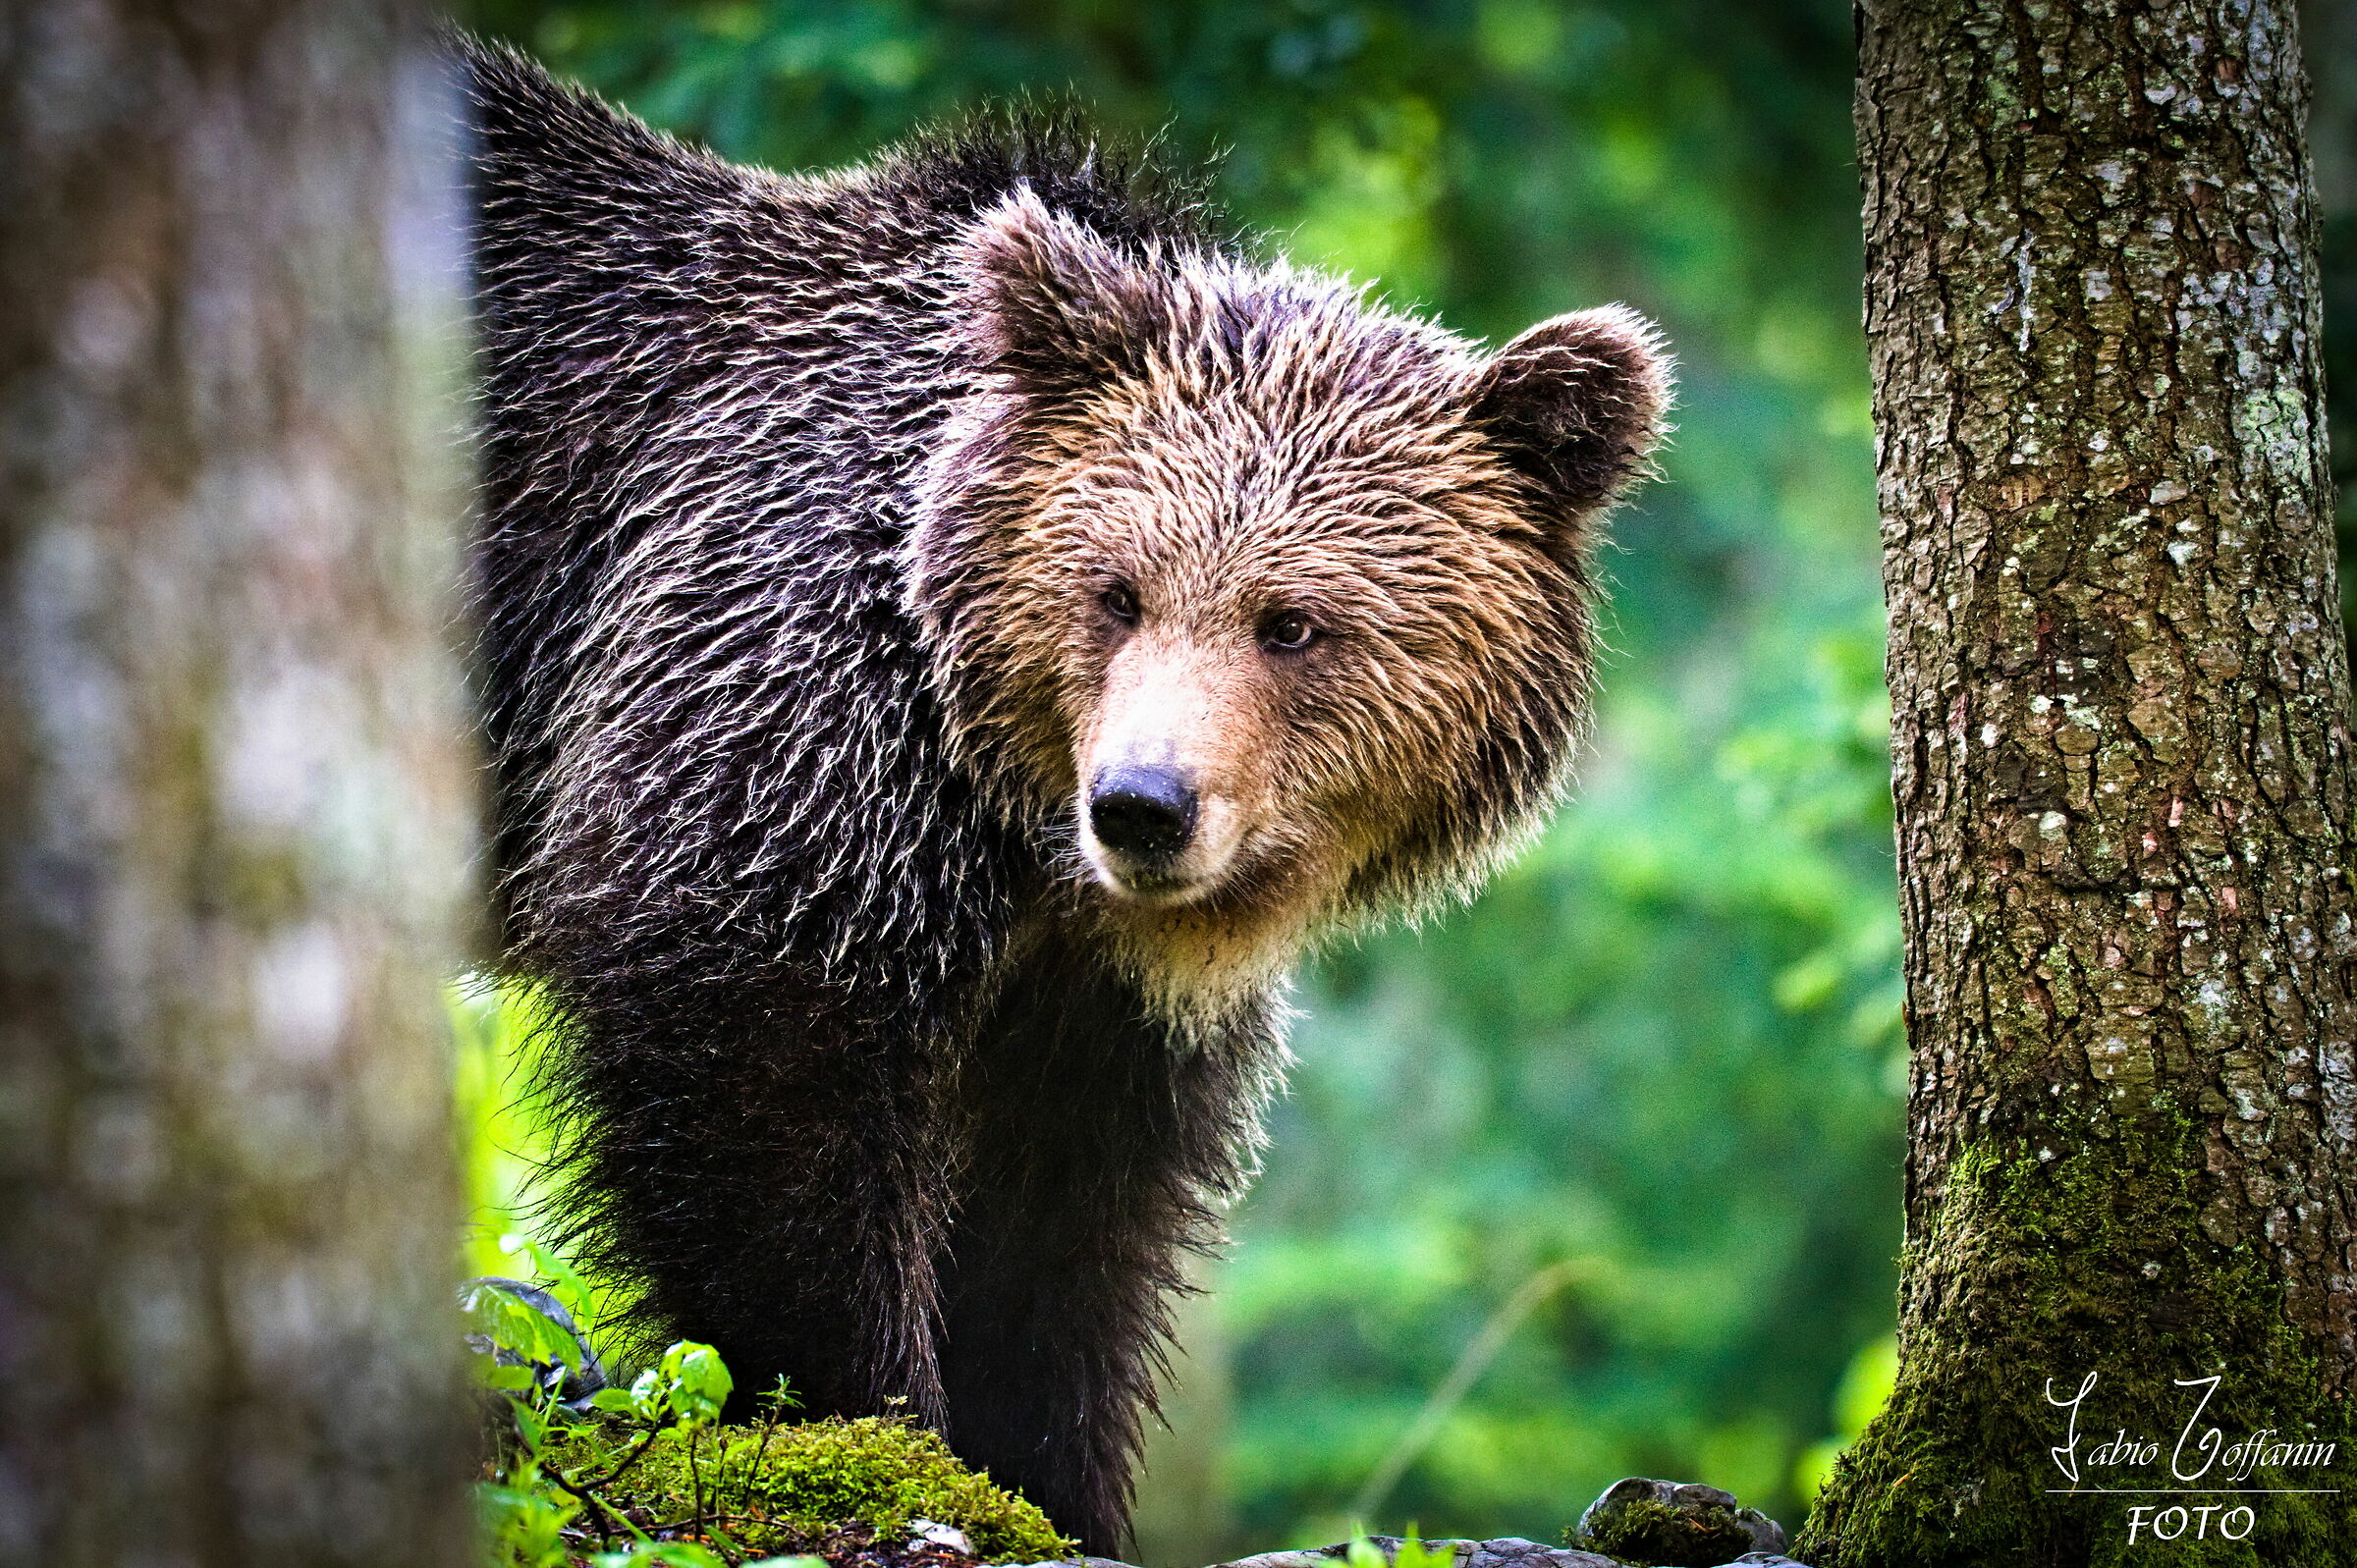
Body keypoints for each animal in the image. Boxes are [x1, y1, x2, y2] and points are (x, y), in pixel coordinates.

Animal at [456, 37, 1669, 1553]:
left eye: (1292, 623)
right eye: (1116, 590)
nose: (1144, 804)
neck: (1004, 816)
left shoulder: (1089, 998)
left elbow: (1061, 1229)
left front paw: (1053, 1479)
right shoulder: (782, 704)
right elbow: (761, 1077)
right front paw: (877, 1433)